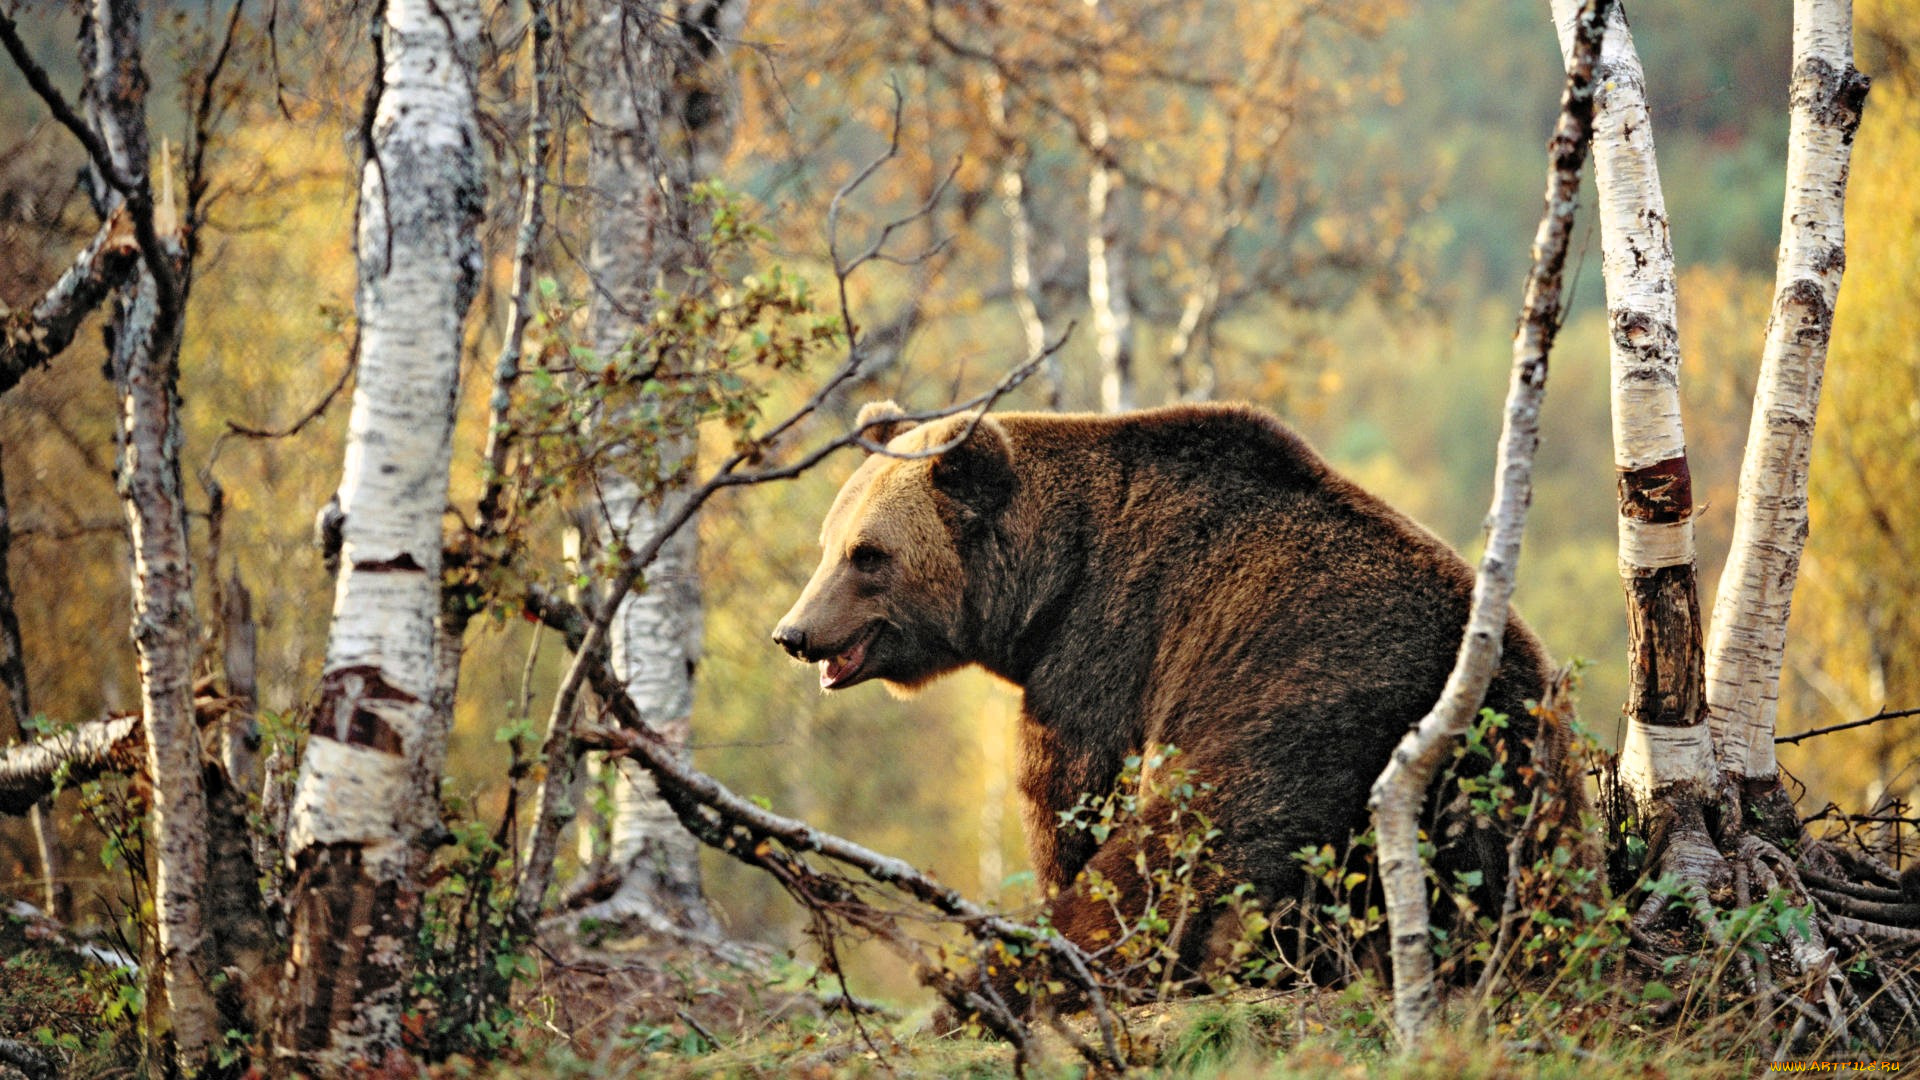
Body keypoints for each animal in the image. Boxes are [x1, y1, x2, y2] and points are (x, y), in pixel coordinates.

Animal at [771, 395, 1551, 999]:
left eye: (868, 554)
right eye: (828, 541)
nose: (794, 633)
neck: (1051, 581)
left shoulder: (1109, 646)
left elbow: (1072, 798)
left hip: (1304, 732)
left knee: (1173, 866)